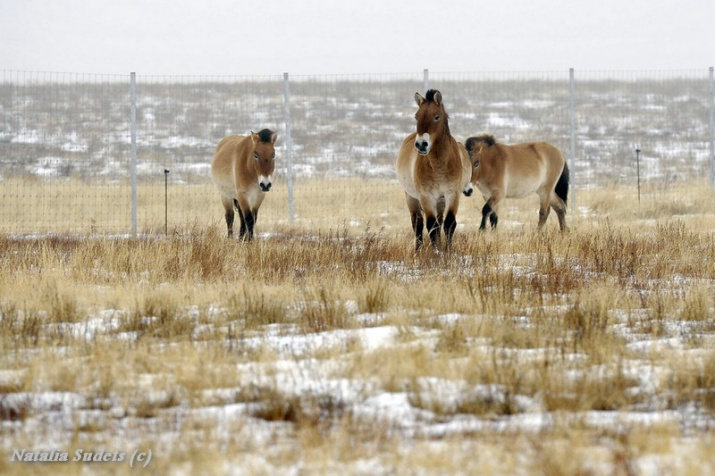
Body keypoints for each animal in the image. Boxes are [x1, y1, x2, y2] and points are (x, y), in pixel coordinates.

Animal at [394, 90, 472, 251]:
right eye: (416, 116)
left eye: (437, 117)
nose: (421, 144)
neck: (439, 166)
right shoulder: (426, 196)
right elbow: (431, 225)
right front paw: (435, 252)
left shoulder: (452, 194)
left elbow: (449, 223)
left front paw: (447, 251)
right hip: (411, 197)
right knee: (417, 223)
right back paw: (418, 250)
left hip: (440, 201)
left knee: (440, 221)